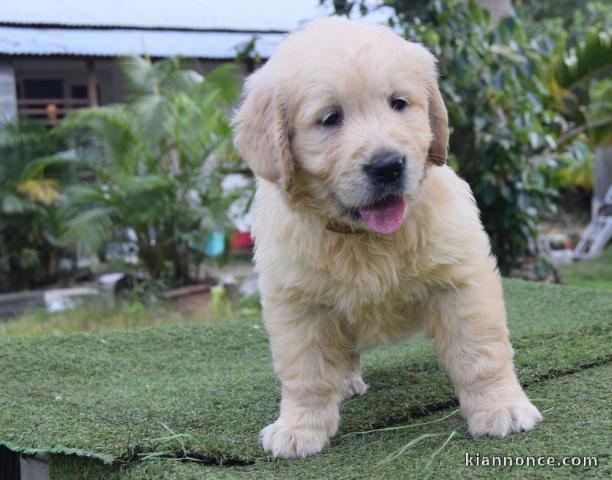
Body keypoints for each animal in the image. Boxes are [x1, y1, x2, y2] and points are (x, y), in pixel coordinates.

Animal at [232, 15, 544, 458]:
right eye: (330, 118)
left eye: (399, 103)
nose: (388, 165)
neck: (364, 236)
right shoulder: (297, 304)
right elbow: (306, 372)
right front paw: (299, 428)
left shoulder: (461, 281)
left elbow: (480, 353)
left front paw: (501, 407)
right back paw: (344, 383)